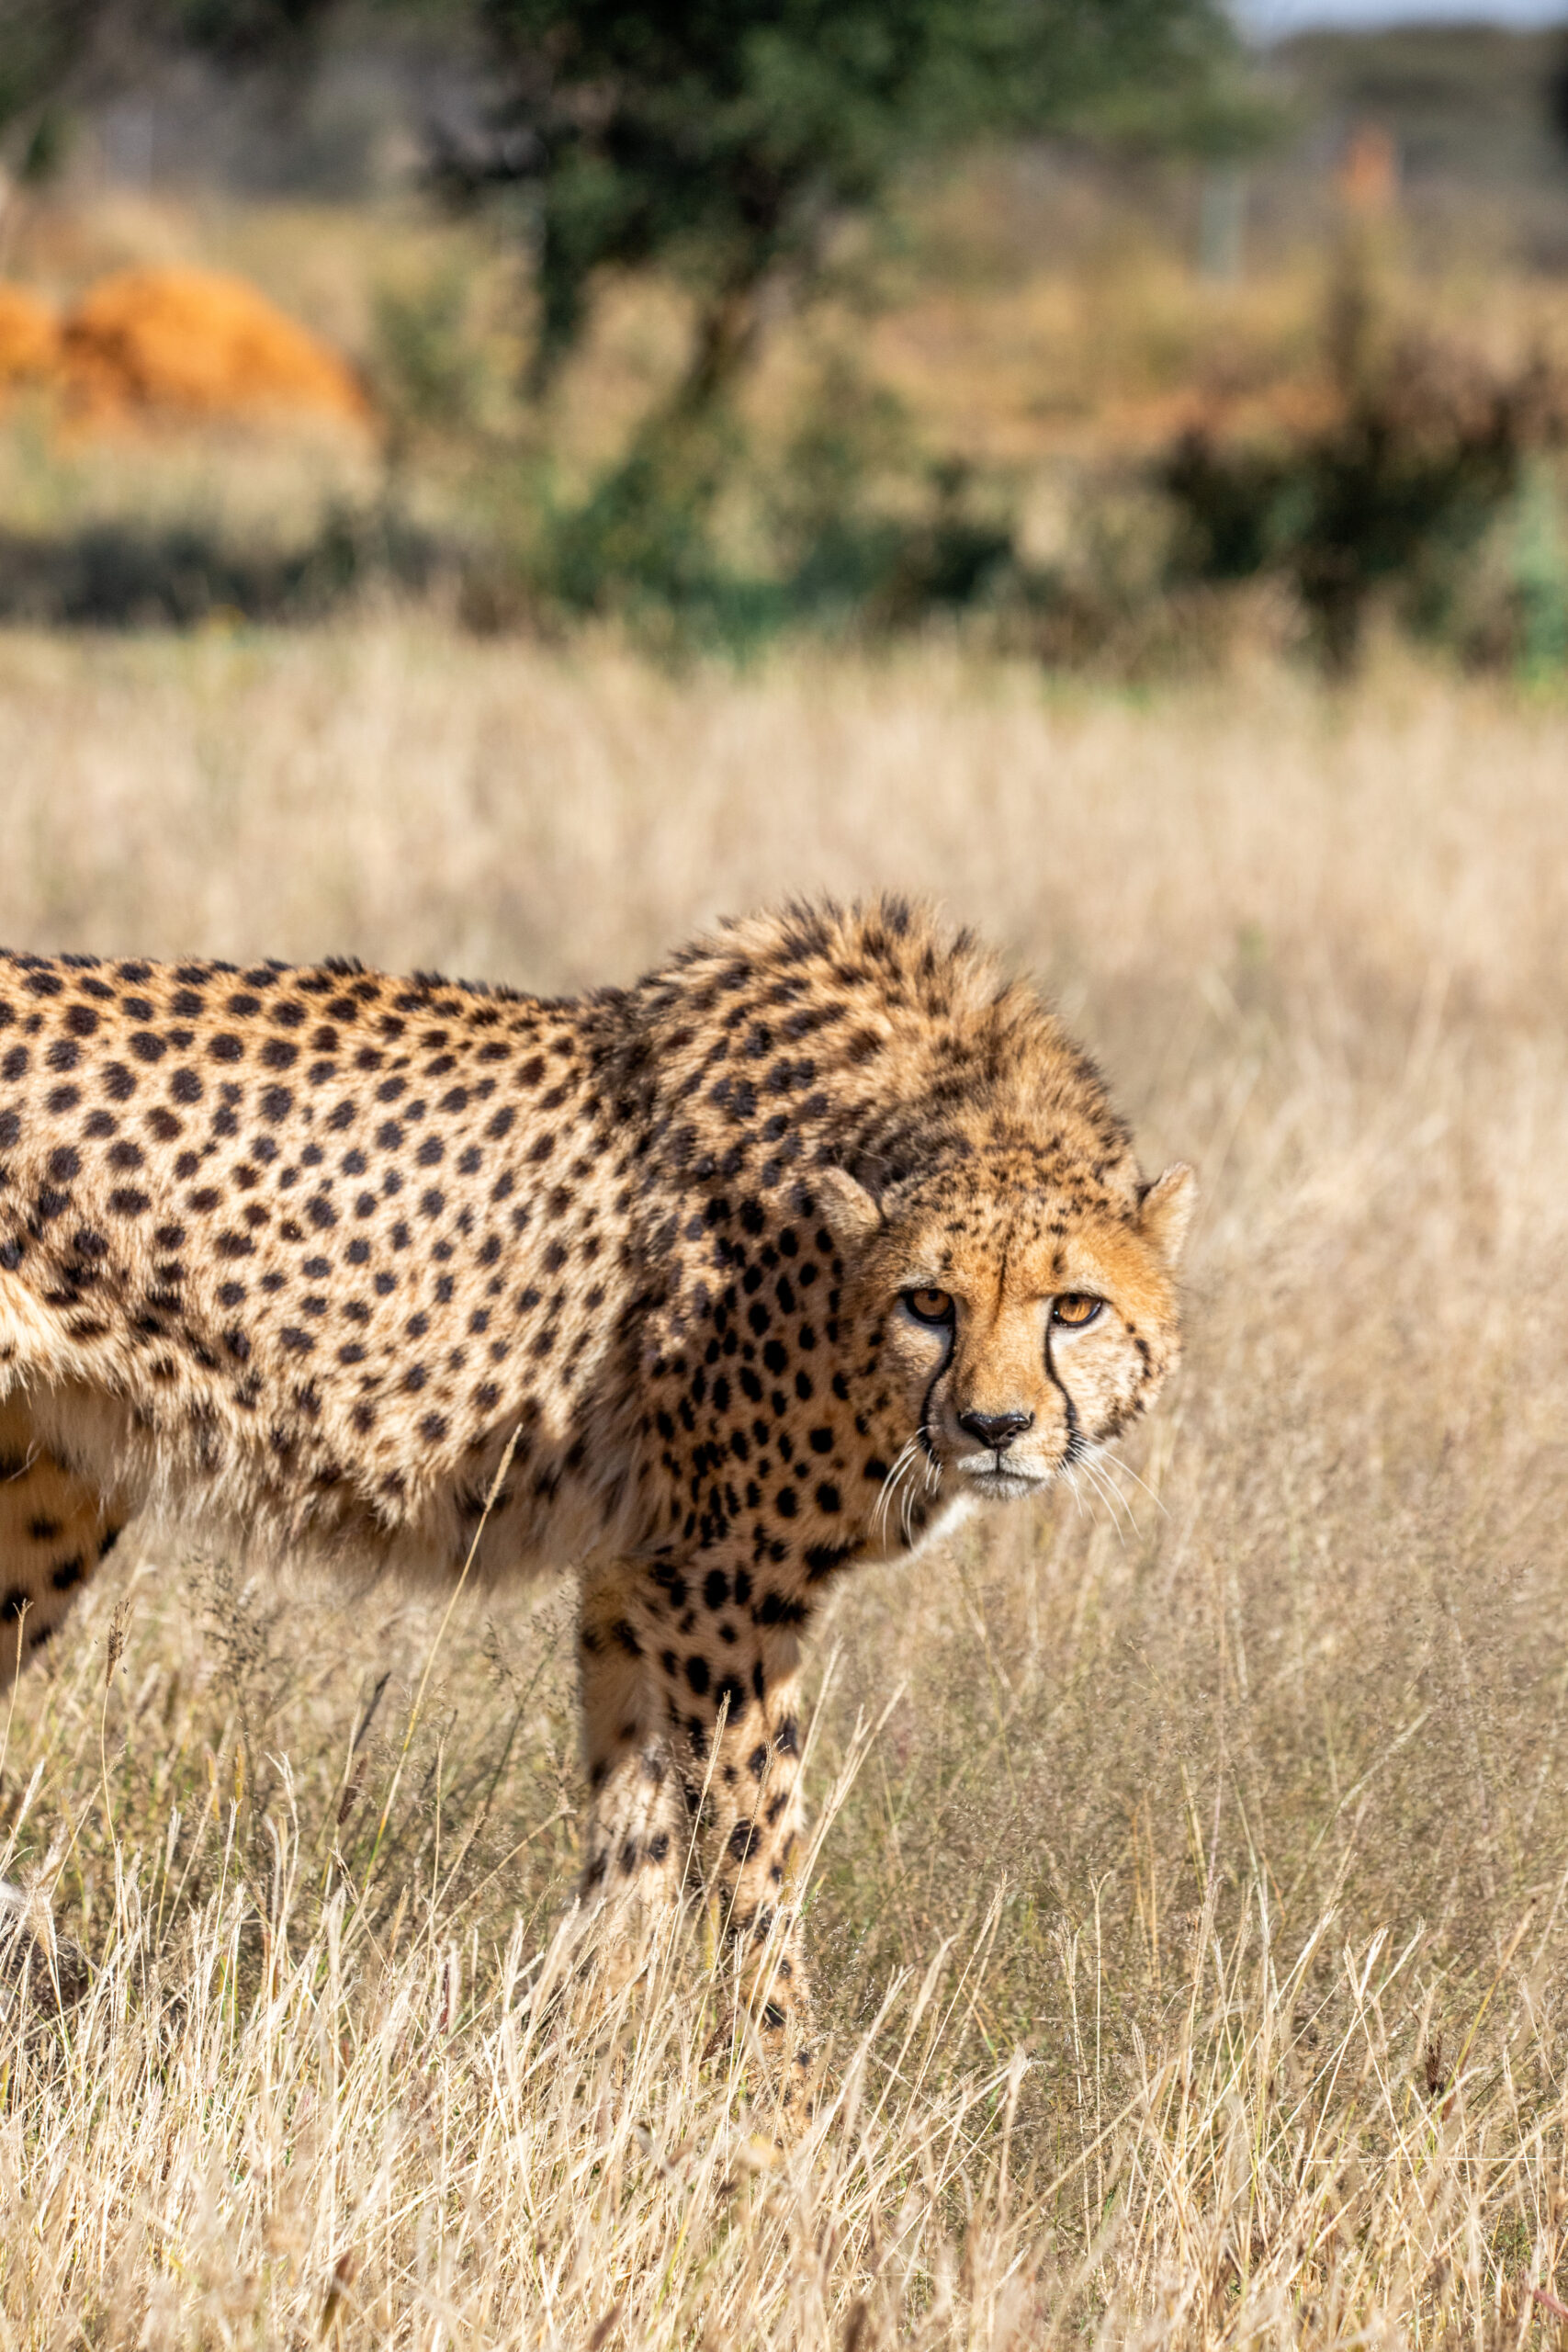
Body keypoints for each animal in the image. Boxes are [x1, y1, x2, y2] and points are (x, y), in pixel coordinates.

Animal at [0, 896, 1193, 2112]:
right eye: (929, 1303)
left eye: (1076, 1307)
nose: (995, 1426)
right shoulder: (724, 1585)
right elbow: (751, 1859)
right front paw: (788, 2109)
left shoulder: (638, 1573)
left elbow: (636, 1840)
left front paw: (579, 2066)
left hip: (46, 1489)